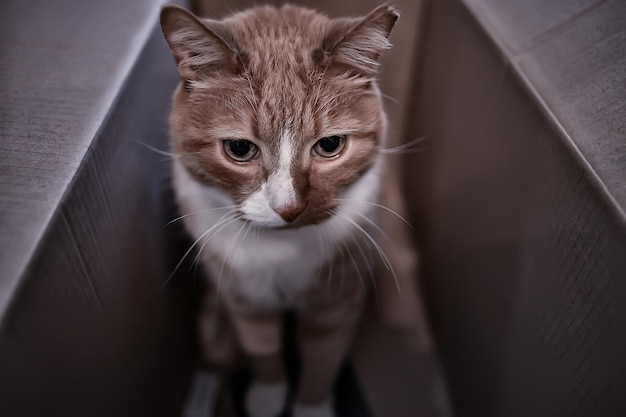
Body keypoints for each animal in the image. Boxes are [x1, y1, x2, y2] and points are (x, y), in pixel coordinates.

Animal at [158, 4, 398, 416]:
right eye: (240, 149)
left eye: (330, 145)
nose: (288, 209)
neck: (282, 251)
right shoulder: (242, 297)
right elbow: (263, 347)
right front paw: (268, 395)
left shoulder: (338, 300)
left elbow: (322, 358)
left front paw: (311, 407)